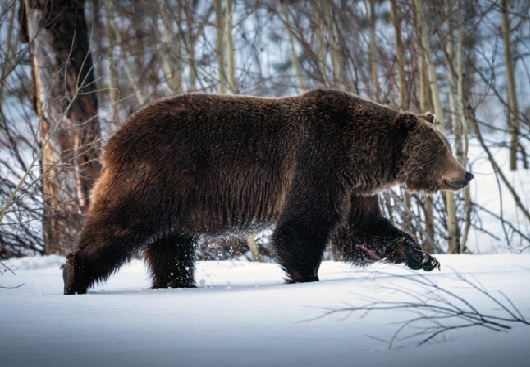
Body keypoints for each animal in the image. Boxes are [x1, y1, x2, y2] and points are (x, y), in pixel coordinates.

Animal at [62, 90, 470, 296]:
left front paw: (421, 257)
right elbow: (302, 227)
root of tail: (113, 140)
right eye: (440, 148)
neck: (359, 156)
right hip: (158, 177)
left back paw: (177, 283)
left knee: (171, 247)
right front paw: (306, 277)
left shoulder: (352, 188)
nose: (465, 173)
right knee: (121, 226)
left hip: (175, 200)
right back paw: (73, 275)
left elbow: (363, 229)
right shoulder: (316, 162)